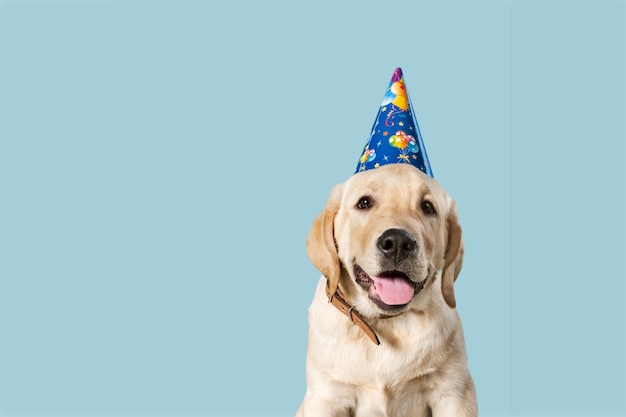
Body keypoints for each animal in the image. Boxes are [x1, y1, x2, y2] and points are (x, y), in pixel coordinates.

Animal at [294, 162, 476, 416]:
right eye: (364, 203)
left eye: (428, 207)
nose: (398, 243)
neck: (384, 322)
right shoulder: (325, 396)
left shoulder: (454, 393)